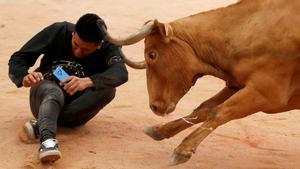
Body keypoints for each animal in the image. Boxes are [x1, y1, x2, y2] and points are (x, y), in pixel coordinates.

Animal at [97, 0, 300, 166]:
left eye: (152, 54)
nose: (154, 107)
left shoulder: (267, 93)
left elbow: (220, 111)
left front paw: (182, 151)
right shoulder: (236, 85)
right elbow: (205, 108)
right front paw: (160, 130)